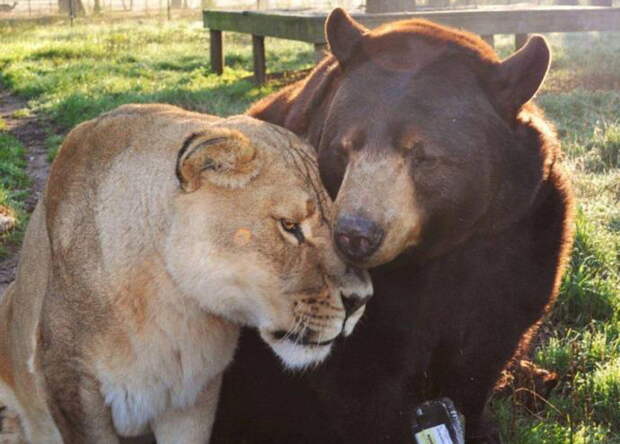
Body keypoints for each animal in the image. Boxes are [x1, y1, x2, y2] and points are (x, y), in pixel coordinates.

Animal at [211, 7, 572, 444]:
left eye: (423, 155)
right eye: (345, 146)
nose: (355, 234)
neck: (428, 253)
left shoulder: (516, 229)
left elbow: (485, 340)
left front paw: (477, 422)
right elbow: (361, 372)